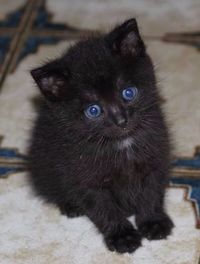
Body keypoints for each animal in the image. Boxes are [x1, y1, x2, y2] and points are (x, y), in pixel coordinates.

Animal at [28, 18, 173, 254]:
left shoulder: (155, 158)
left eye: (128, 93)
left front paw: (153, 222)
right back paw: (71, 206)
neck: (121, 143)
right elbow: (103, 207)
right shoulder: (83, 176)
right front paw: (122, 236)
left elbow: (151, 191)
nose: (121, 121)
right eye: (93, 110)